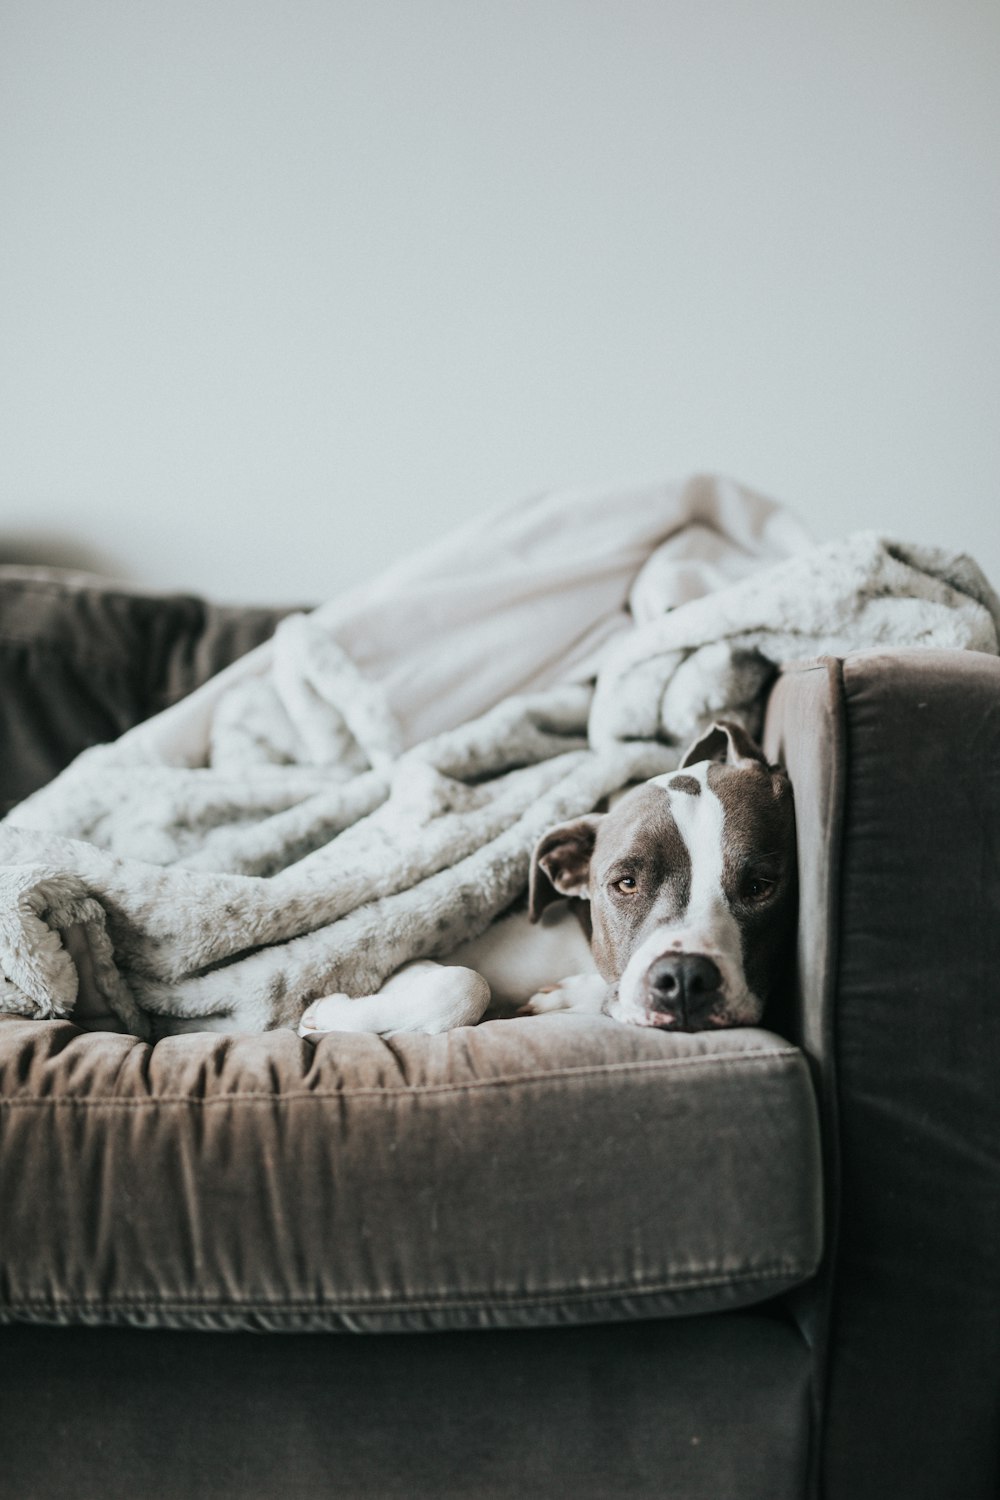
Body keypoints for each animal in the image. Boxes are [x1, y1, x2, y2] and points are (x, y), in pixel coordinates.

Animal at [296, 720, 797, 1038]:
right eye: (626, 883)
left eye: (759, 886)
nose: (686, 978)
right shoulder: (412, 962)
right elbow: (464, 982)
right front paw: (327, 1013)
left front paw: (564, 997)